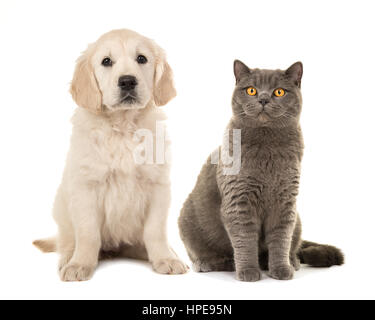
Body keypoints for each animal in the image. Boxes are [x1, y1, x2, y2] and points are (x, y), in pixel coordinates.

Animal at [33, 28, 188, 282]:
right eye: (106, 61)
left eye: (142, 59)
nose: (127, 81)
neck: (123, 126)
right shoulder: (86, 187)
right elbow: (88, 233)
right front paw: (80, 264)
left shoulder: (157, 185)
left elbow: (155, 230)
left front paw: (165, 258)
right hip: (61, 207)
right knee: (67, 240)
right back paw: (69, 257)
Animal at [178, 60, 344, 280]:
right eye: (251, 90)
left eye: (279, 92)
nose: (263, 99)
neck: (267, 151)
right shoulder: (239, 201)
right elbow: (245, 239)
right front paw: (248, 271)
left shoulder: (285, 202)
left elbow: (281, 240)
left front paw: (281, 269)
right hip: (187, 218)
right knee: (200, 253)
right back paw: (215, 263)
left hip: (297, 219)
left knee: (293, 245)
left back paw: (290, 261)